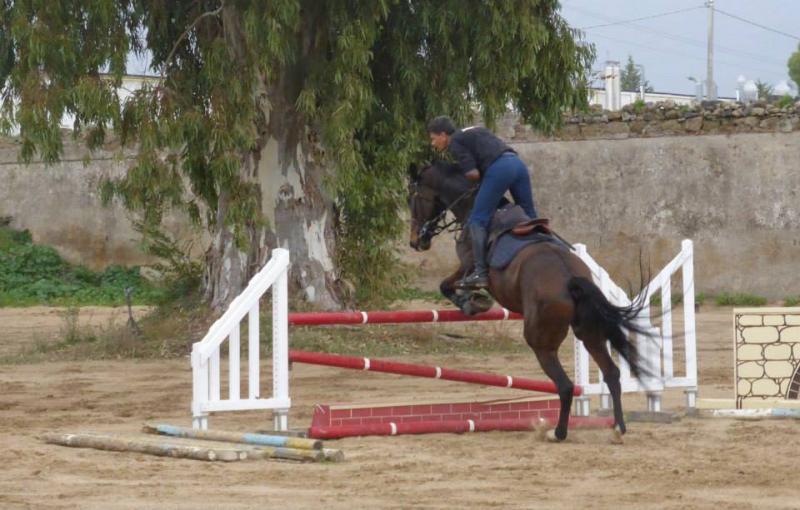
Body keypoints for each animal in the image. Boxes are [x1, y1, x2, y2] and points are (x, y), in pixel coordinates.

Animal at [408, 160, 651, 441]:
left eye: (412, 198)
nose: (416, 241)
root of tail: (570, 278)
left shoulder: (466, 265)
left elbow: (448, 285)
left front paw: (472, 301)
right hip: (589, 332)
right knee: (611, 373)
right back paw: (618, 428)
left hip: (541, 341)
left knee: (565, 385)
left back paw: (558, 432)